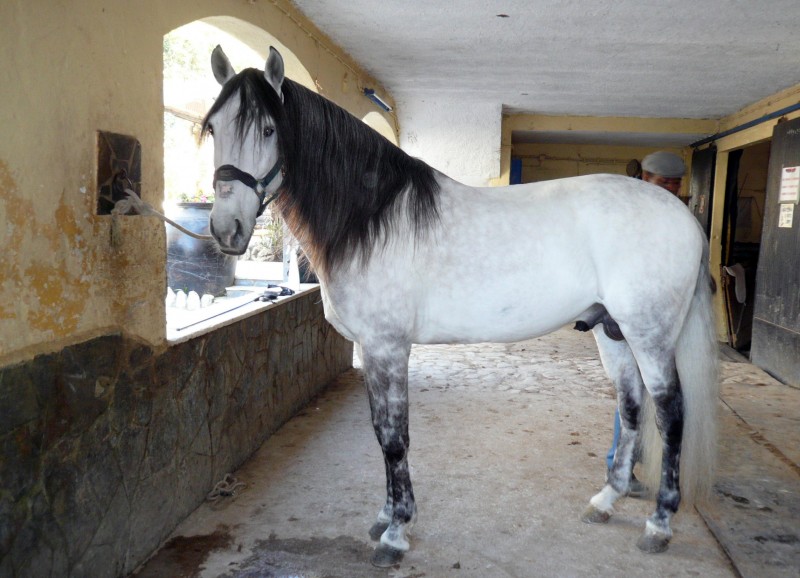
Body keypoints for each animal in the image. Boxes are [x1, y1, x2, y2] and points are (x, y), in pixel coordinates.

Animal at [202, 46, 720, 568]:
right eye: (213, 127)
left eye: (269, 129)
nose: (227, 230)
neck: (373, 220)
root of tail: (682, 214)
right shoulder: (370, 350)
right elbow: (379, 431)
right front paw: (384, 518)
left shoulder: (389, 348)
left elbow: (396, 438)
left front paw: (396, 532)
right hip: (612, 331)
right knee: (631, 405)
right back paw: (606, 501)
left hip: (649, 335)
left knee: (671, 413)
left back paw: (659, 524)